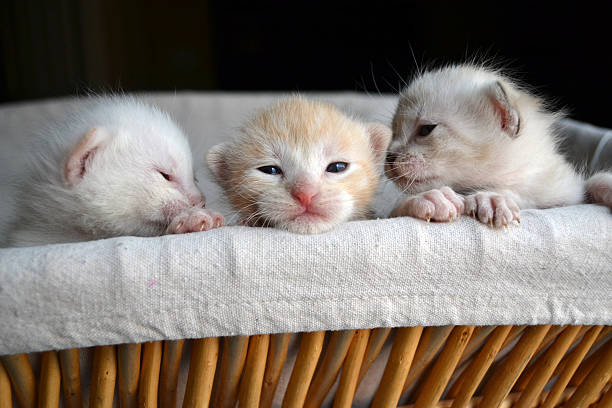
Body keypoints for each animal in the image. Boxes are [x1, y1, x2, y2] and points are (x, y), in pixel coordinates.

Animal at [388, 65, 612, 228]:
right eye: (393, 132)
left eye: (426, 129)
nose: (389, 157)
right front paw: (430, 199)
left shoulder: (565, 193)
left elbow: (593, 182)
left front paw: (491, 198)